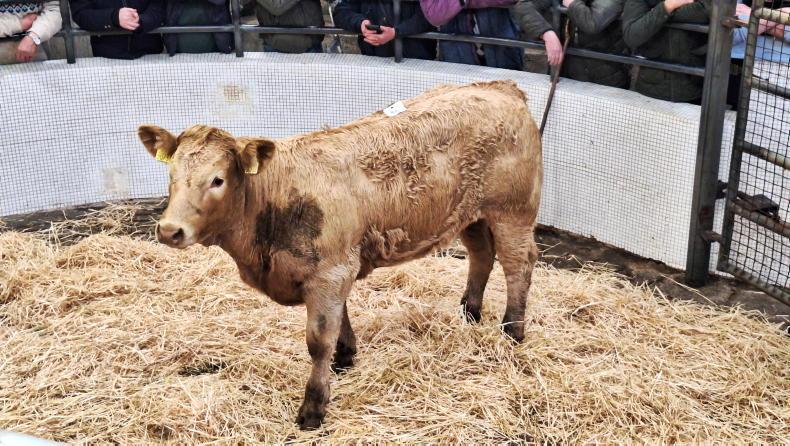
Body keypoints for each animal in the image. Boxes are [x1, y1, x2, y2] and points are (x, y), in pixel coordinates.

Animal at [137, 80, 542, 429]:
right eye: (171, 176)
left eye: (217, 179)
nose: (169, 230)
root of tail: (502, 87)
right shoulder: (333, 271)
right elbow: (338, 321)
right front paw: (345, 356)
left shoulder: (330, 272)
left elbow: (318, 340)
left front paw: (314, 407)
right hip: (472, 215)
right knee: (481, 255)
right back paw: (469, 312)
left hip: (512, 212)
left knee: (517, 265)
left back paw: (512, 331)